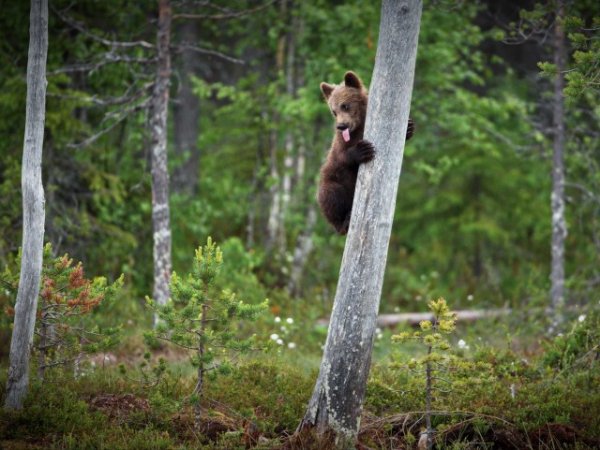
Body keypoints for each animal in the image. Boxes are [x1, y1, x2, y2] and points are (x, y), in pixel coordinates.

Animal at [318, 71, 412, 234]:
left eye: (345, 105)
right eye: (334, 111)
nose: (341, 126)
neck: (359, 126)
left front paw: (409, 127)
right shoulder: (340, 145)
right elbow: (341, 156)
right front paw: (363, 150)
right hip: (333, 182)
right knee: (330, 195)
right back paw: (344, 222)